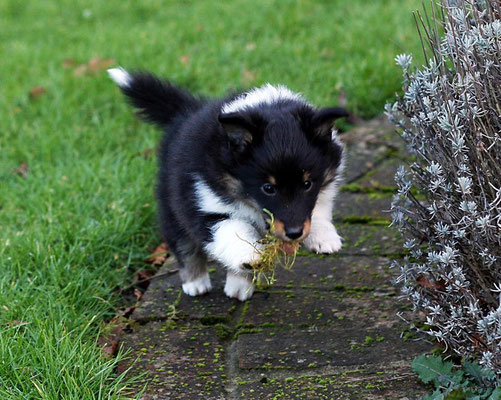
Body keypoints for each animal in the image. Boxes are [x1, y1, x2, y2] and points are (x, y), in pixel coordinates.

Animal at [107, 68, 346, 300]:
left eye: (307, 184)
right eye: (268, 188)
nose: (295, 233)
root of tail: (187, 111)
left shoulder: (324, 186)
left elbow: (318, 208)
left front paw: (324, 237)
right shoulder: (205, 201)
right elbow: (230, 230)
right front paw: (251, 254)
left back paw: (238, 286)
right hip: (171, 201)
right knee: (183, 244)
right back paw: (197, 283)